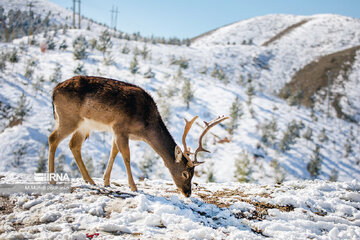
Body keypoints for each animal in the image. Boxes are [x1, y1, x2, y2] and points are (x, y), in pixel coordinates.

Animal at [48, 75, 228, 197]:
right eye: (185, 173)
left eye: (193, 174)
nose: (187, 193)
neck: (144, 128)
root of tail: (54, 91)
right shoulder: (120, 127)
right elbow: (126, 156)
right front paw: (133, 187)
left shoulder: (116, 131)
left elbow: (113, 153)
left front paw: (106, 181)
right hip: (68, 118)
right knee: (53, 138)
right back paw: (52, 180)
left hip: (84, 125)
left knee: (73, 144)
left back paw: (90, 180)